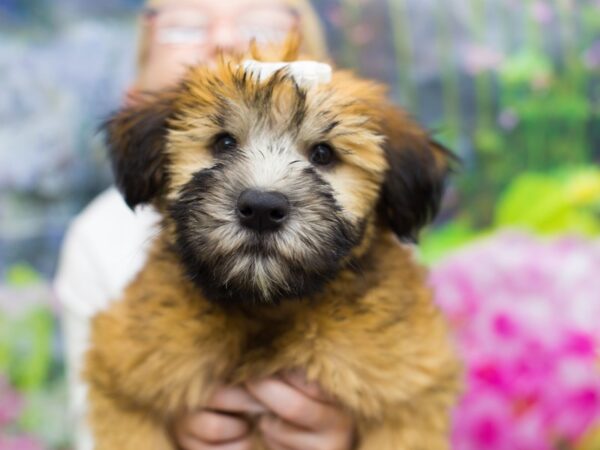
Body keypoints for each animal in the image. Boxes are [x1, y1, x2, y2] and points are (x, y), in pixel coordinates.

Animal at [84, 39, 460, 450]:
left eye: (323, 154)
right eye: (224, 143)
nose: (262, 209)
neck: (268, 307)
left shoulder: (408, 397)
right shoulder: (123, 378)